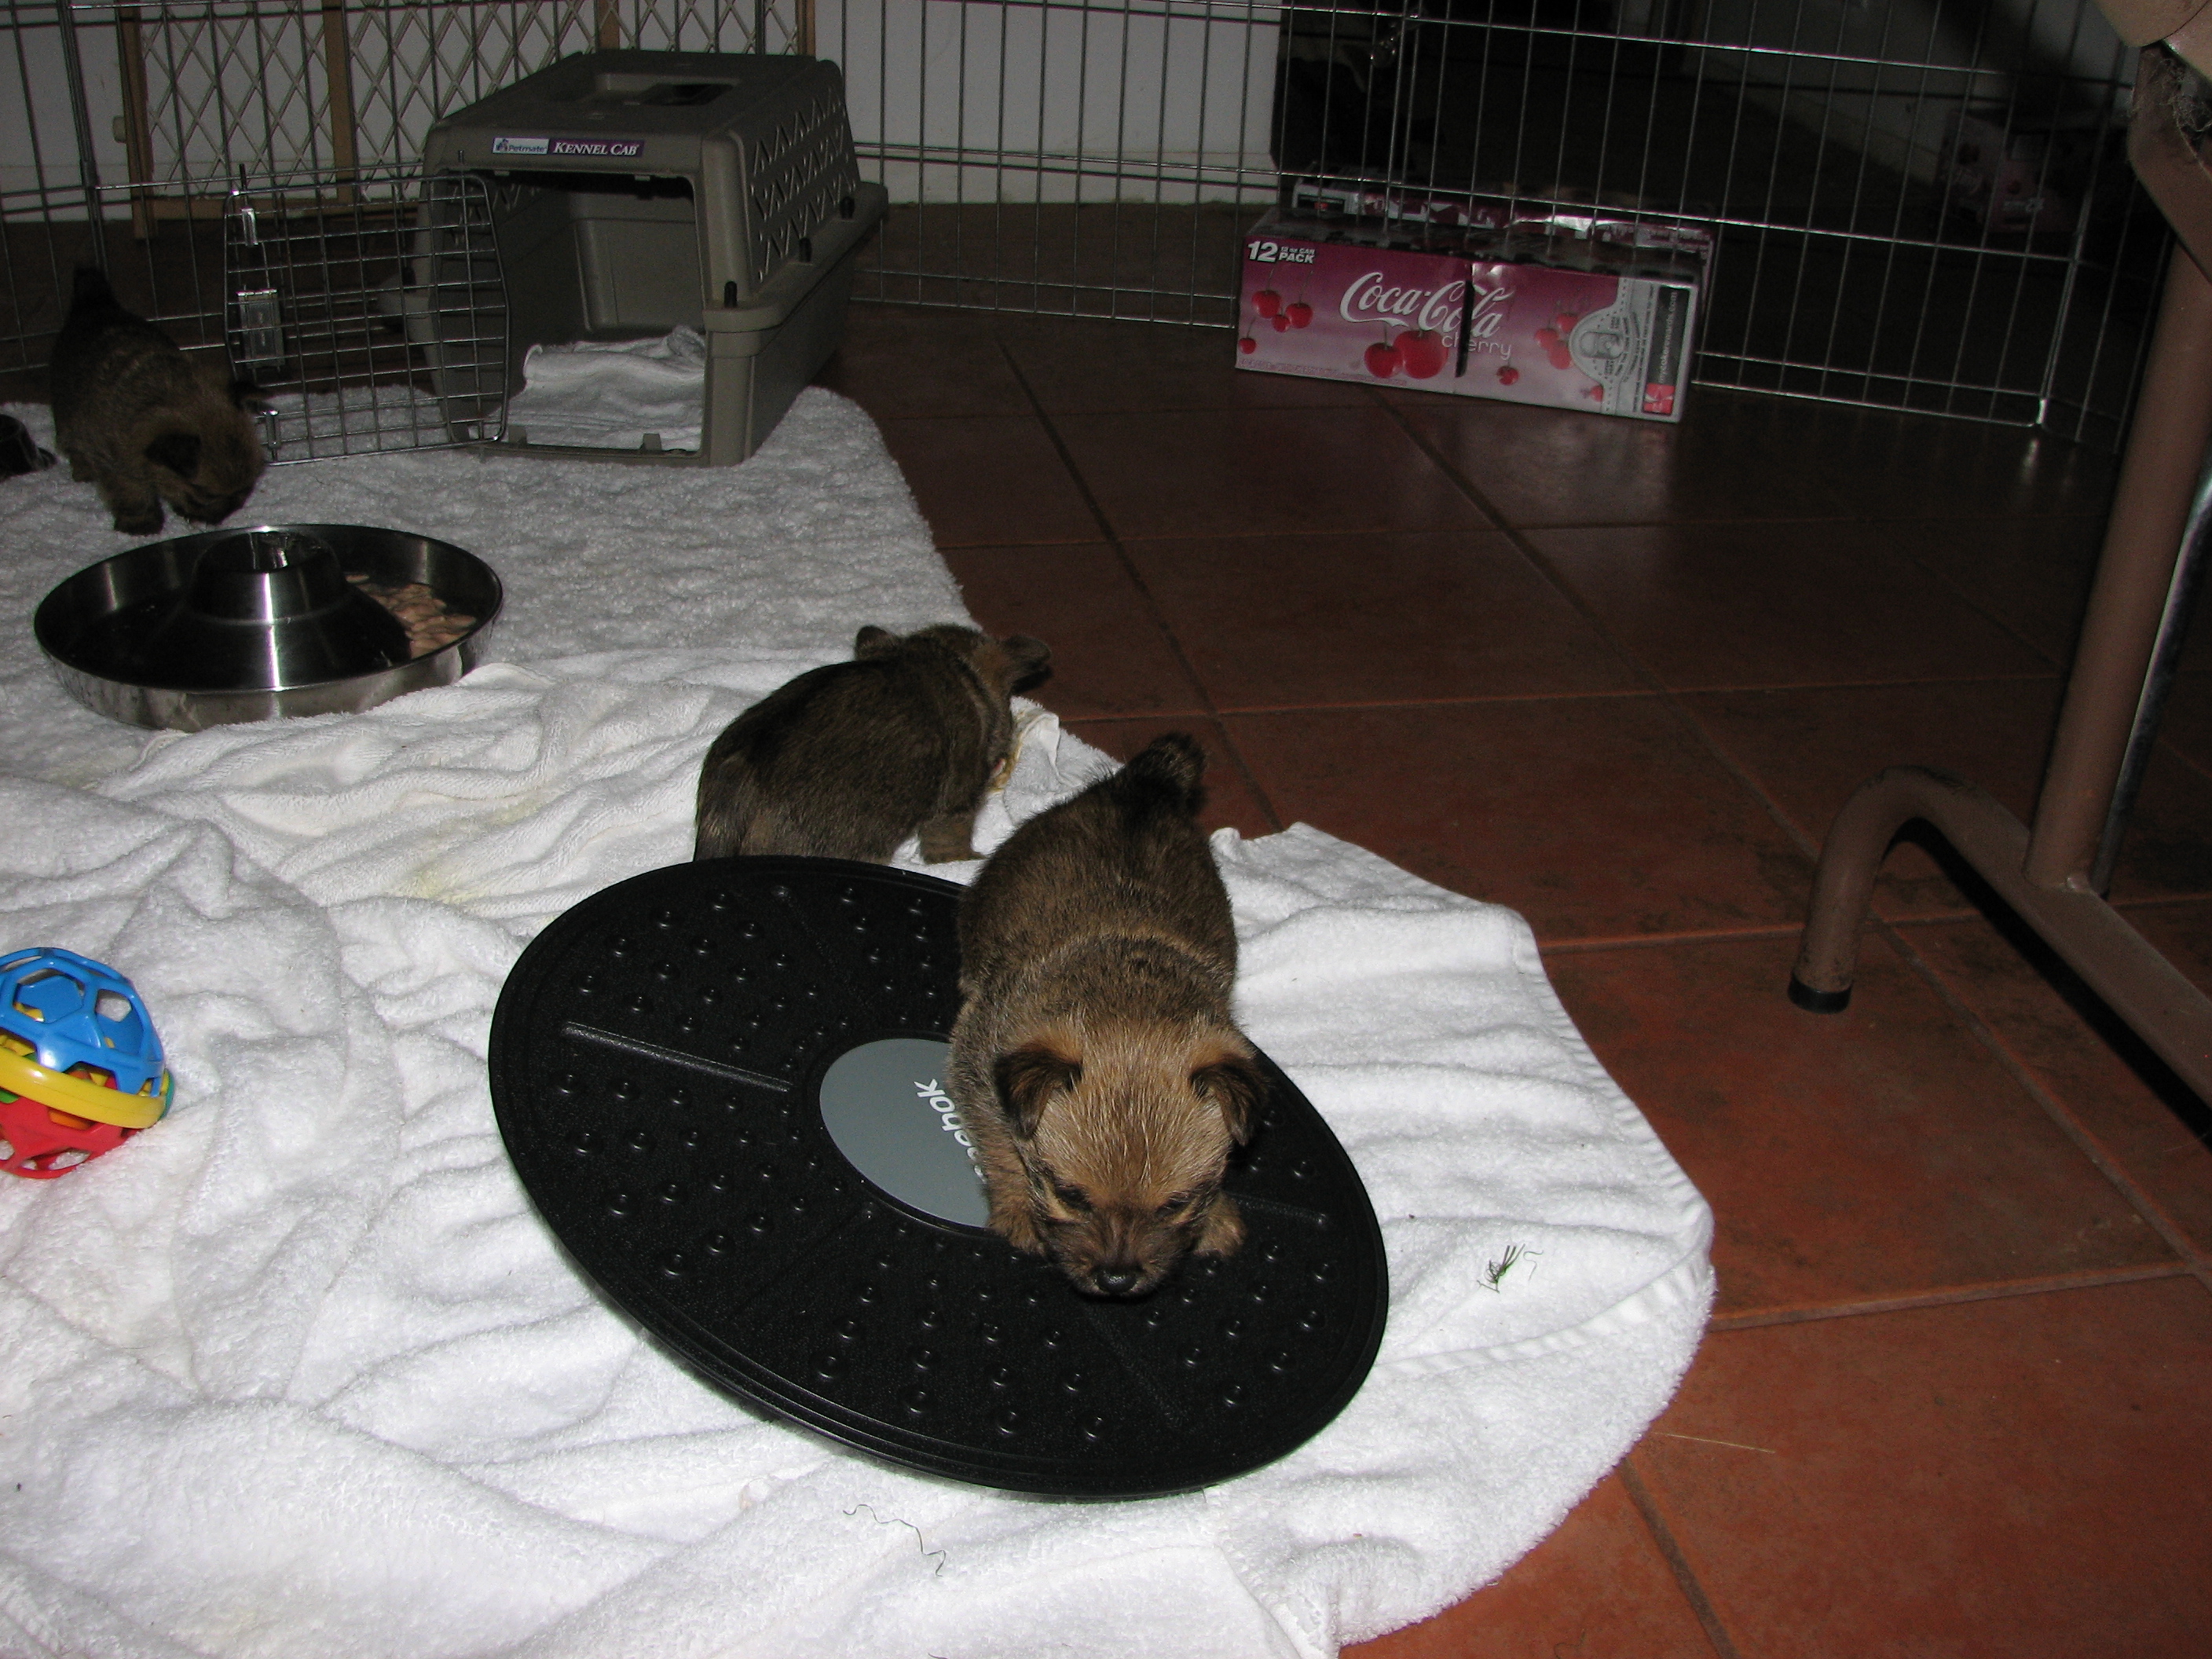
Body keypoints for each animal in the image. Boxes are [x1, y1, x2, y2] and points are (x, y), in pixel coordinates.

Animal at [49, 267, 266, 535]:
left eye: (246, 488)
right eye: (205, 496)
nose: (227, 514)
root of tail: (94, 302)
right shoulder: (117, 467)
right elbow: (132, 494)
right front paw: (140, 521)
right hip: (65, 414)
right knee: (72, 443)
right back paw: (82, 468)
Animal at [947, 732, 1266, 1298]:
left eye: (1176, 1204)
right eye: (1071, 1196)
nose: (1117, 1279)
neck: (1129, 996)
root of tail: (1140, 785)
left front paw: (1215, 1217)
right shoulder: (977, 1063)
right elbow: (999, 1142)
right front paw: (1017, 1207)